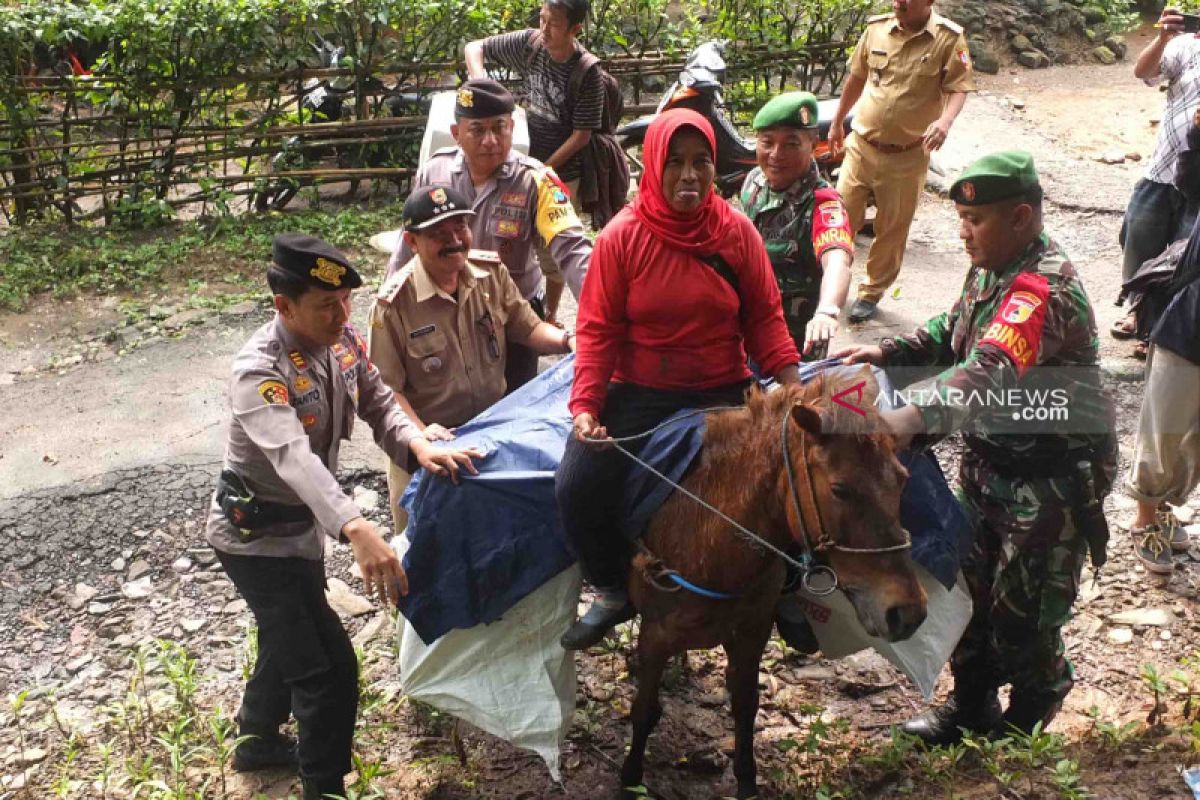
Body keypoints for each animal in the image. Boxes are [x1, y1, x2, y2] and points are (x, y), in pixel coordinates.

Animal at [619, 369, 926, 800]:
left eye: (902, 480)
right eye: (840, 489)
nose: (907, 613)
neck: (709, 537)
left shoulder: (752, 631)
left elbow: (745, 707)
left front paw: (747, 782)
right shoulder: (655, 635)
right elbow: (644, 710)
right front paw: (630, 779)